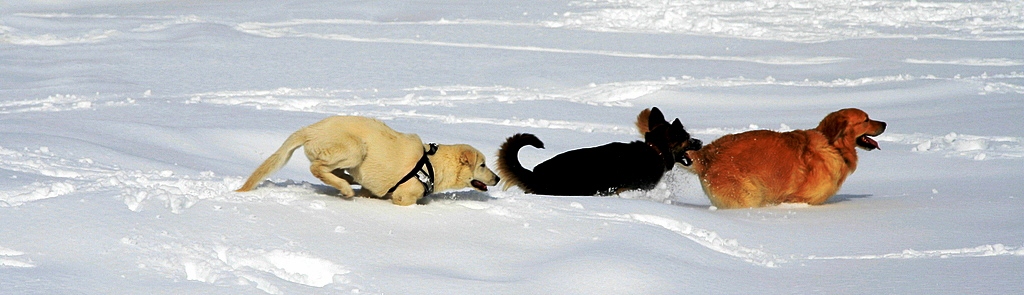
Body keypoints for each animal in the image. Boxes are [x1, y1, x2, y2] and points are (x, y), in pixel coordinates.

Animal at [235, 115, 499, 204]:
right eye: (483, 165)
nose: (497, 178)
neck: (432, 165)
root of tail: (309, 129)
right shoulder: (403, 196)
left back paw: (347, 181)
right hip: (355, 148)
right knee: (316, 168)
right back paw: (344, 187)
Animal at [643, 107, 884, 206]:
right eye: (866, 119)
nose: (885, 123)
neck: (832, 145)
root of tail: (709, 153)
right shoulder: (797, 199)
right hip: (747, 195)